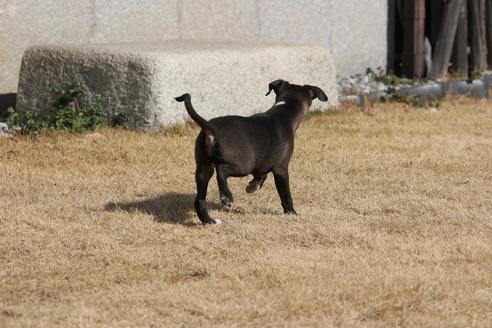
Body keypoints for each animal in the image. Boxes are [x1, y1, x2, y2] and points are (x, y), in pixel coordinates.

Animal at [175, 79, 328, 224]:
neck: (283, 111)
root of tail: (211, 128)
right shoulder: (281, 168)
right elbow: (285, 194)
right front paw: (292, 213)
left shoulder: (261, 161)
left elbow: (262, 175)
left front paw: (253, 186)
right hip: (243, 164)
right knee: (221, 171)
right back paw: (227, 199)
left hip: (203, 167)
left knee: (200, 199)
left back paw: (210, 221)